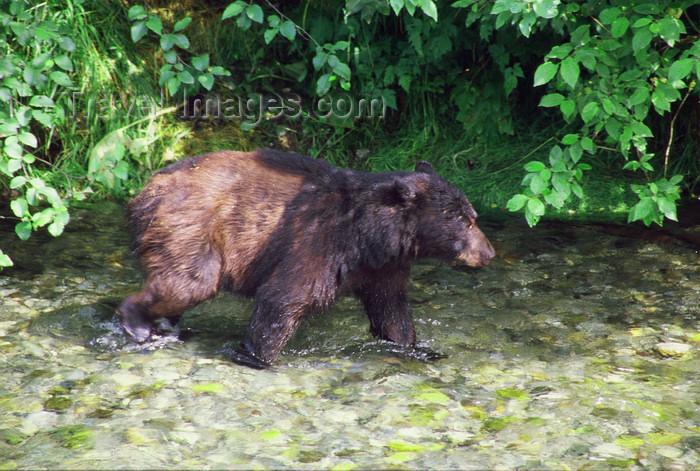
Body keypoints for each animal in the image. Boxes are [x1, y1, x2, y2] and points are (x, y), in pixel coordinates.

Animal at [117, 150, 494, 368]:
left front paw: (420, 349)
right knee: (190, 283)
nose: (489, 253)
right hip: (191, 229)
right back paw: (137, 323)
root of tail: (147, 189)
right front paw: (256, 357)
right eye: (462, 220)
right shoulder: (318, 241)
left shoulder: (384, 267)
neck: (370, 236)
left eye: (473, 215)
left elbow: (392, 311)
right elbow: (283, 298)